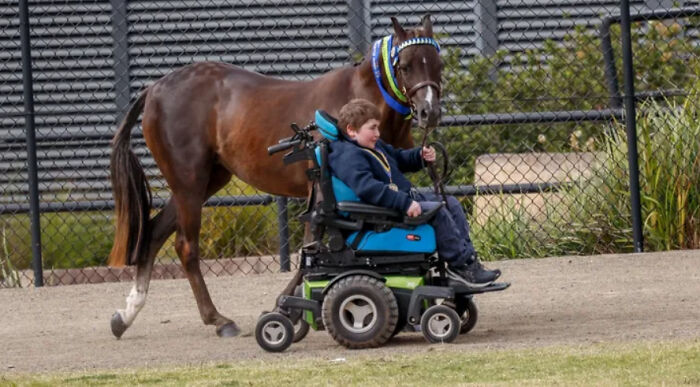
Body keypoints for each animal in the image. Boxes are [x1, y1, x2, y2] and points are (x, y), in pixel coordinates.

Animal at [108, 15, 442, 338]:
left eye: (436, 63)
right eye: (406, 65)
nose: (430, 112)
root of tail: (156, 88)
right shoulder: (322, 193)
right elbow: (311, 250)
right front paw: (288, 308)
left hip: (203, 182)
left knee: (154, 233)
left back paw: (126, 315)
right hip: (189, 183)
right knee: (186, 246)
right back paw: (219, 320)